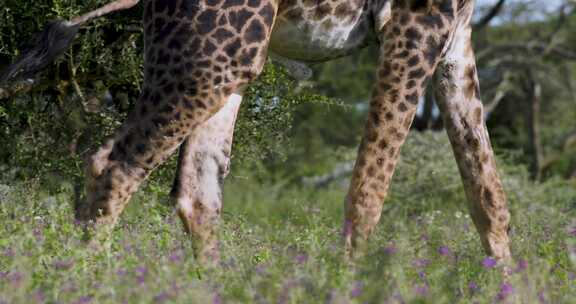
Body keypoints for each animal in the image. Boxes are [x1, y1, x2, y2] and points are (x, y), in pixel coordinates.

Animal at [1, 0, 512, 264]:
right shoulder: (415, 20)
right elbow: (369, 190)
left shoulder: (457, 32)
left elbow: (488, 193)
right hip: (213, 52)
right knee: (115, 164)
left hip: (229, 57)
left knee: (196, 191)